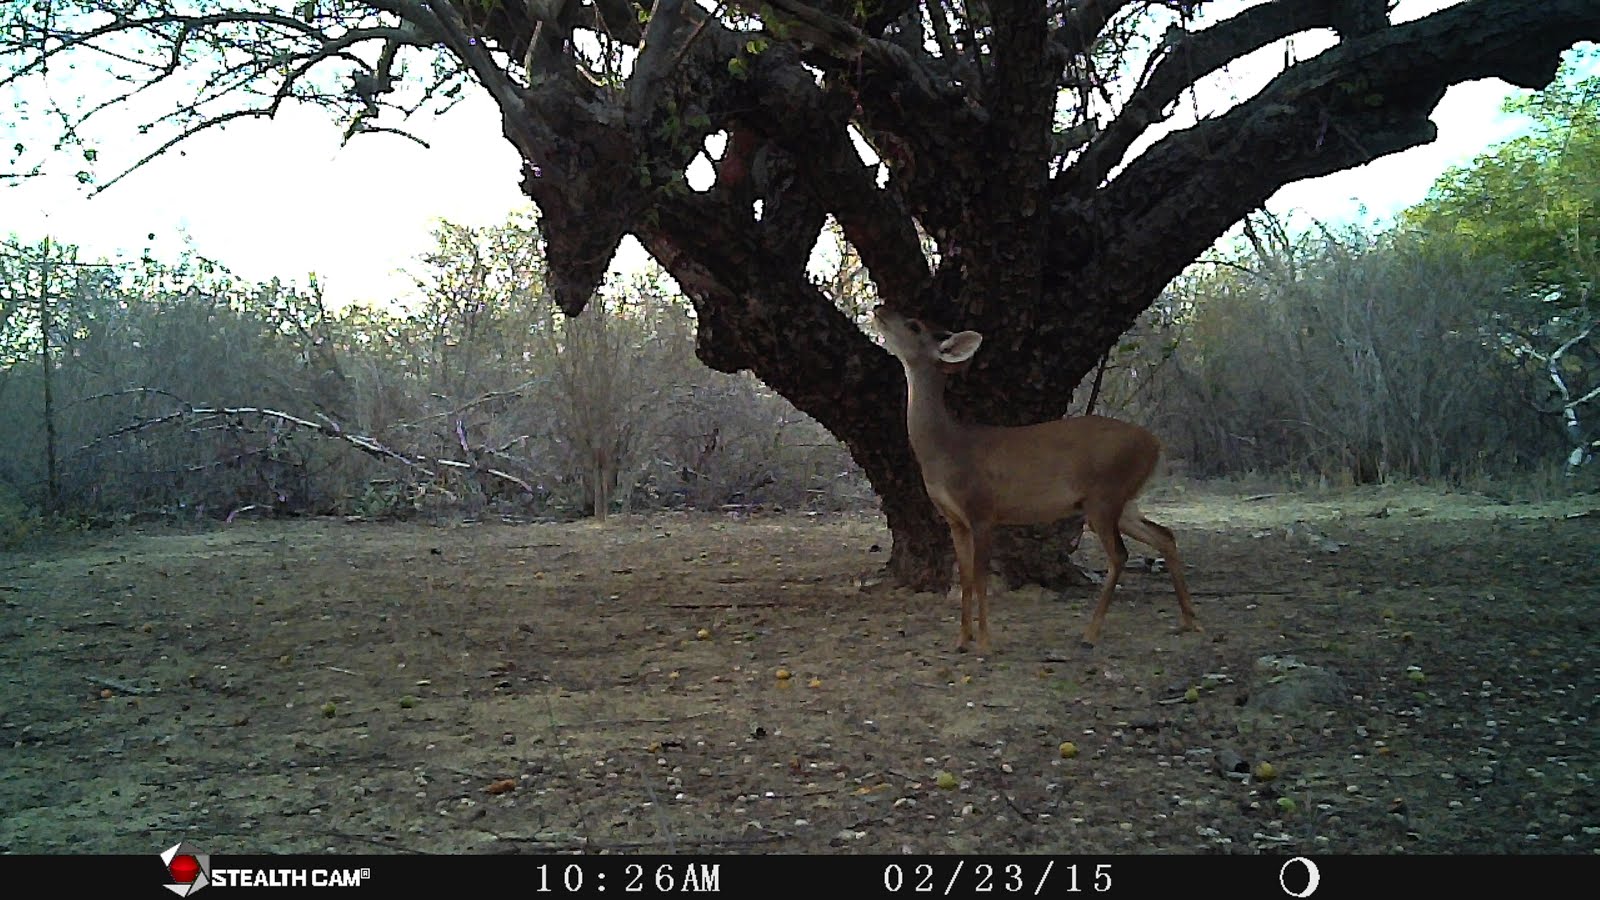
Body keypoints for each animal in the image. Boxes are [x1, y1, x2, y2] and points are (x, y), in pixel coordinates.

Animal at [876, 302, 1203, 650]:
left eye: (913, 325)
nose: (880, 308)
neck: (947, 449)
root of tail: (1156, 445)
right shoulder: (954, 519)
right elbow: (963, 577)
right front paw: (962, 640)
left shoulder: (982, 509)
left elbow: (980, 577)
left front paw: (985, 643)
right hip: (1124, 501)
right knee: (1164, 535)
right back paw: (1189, 621)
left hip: (1105, 495)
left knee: (1120, 554)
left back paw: (1090, 633)